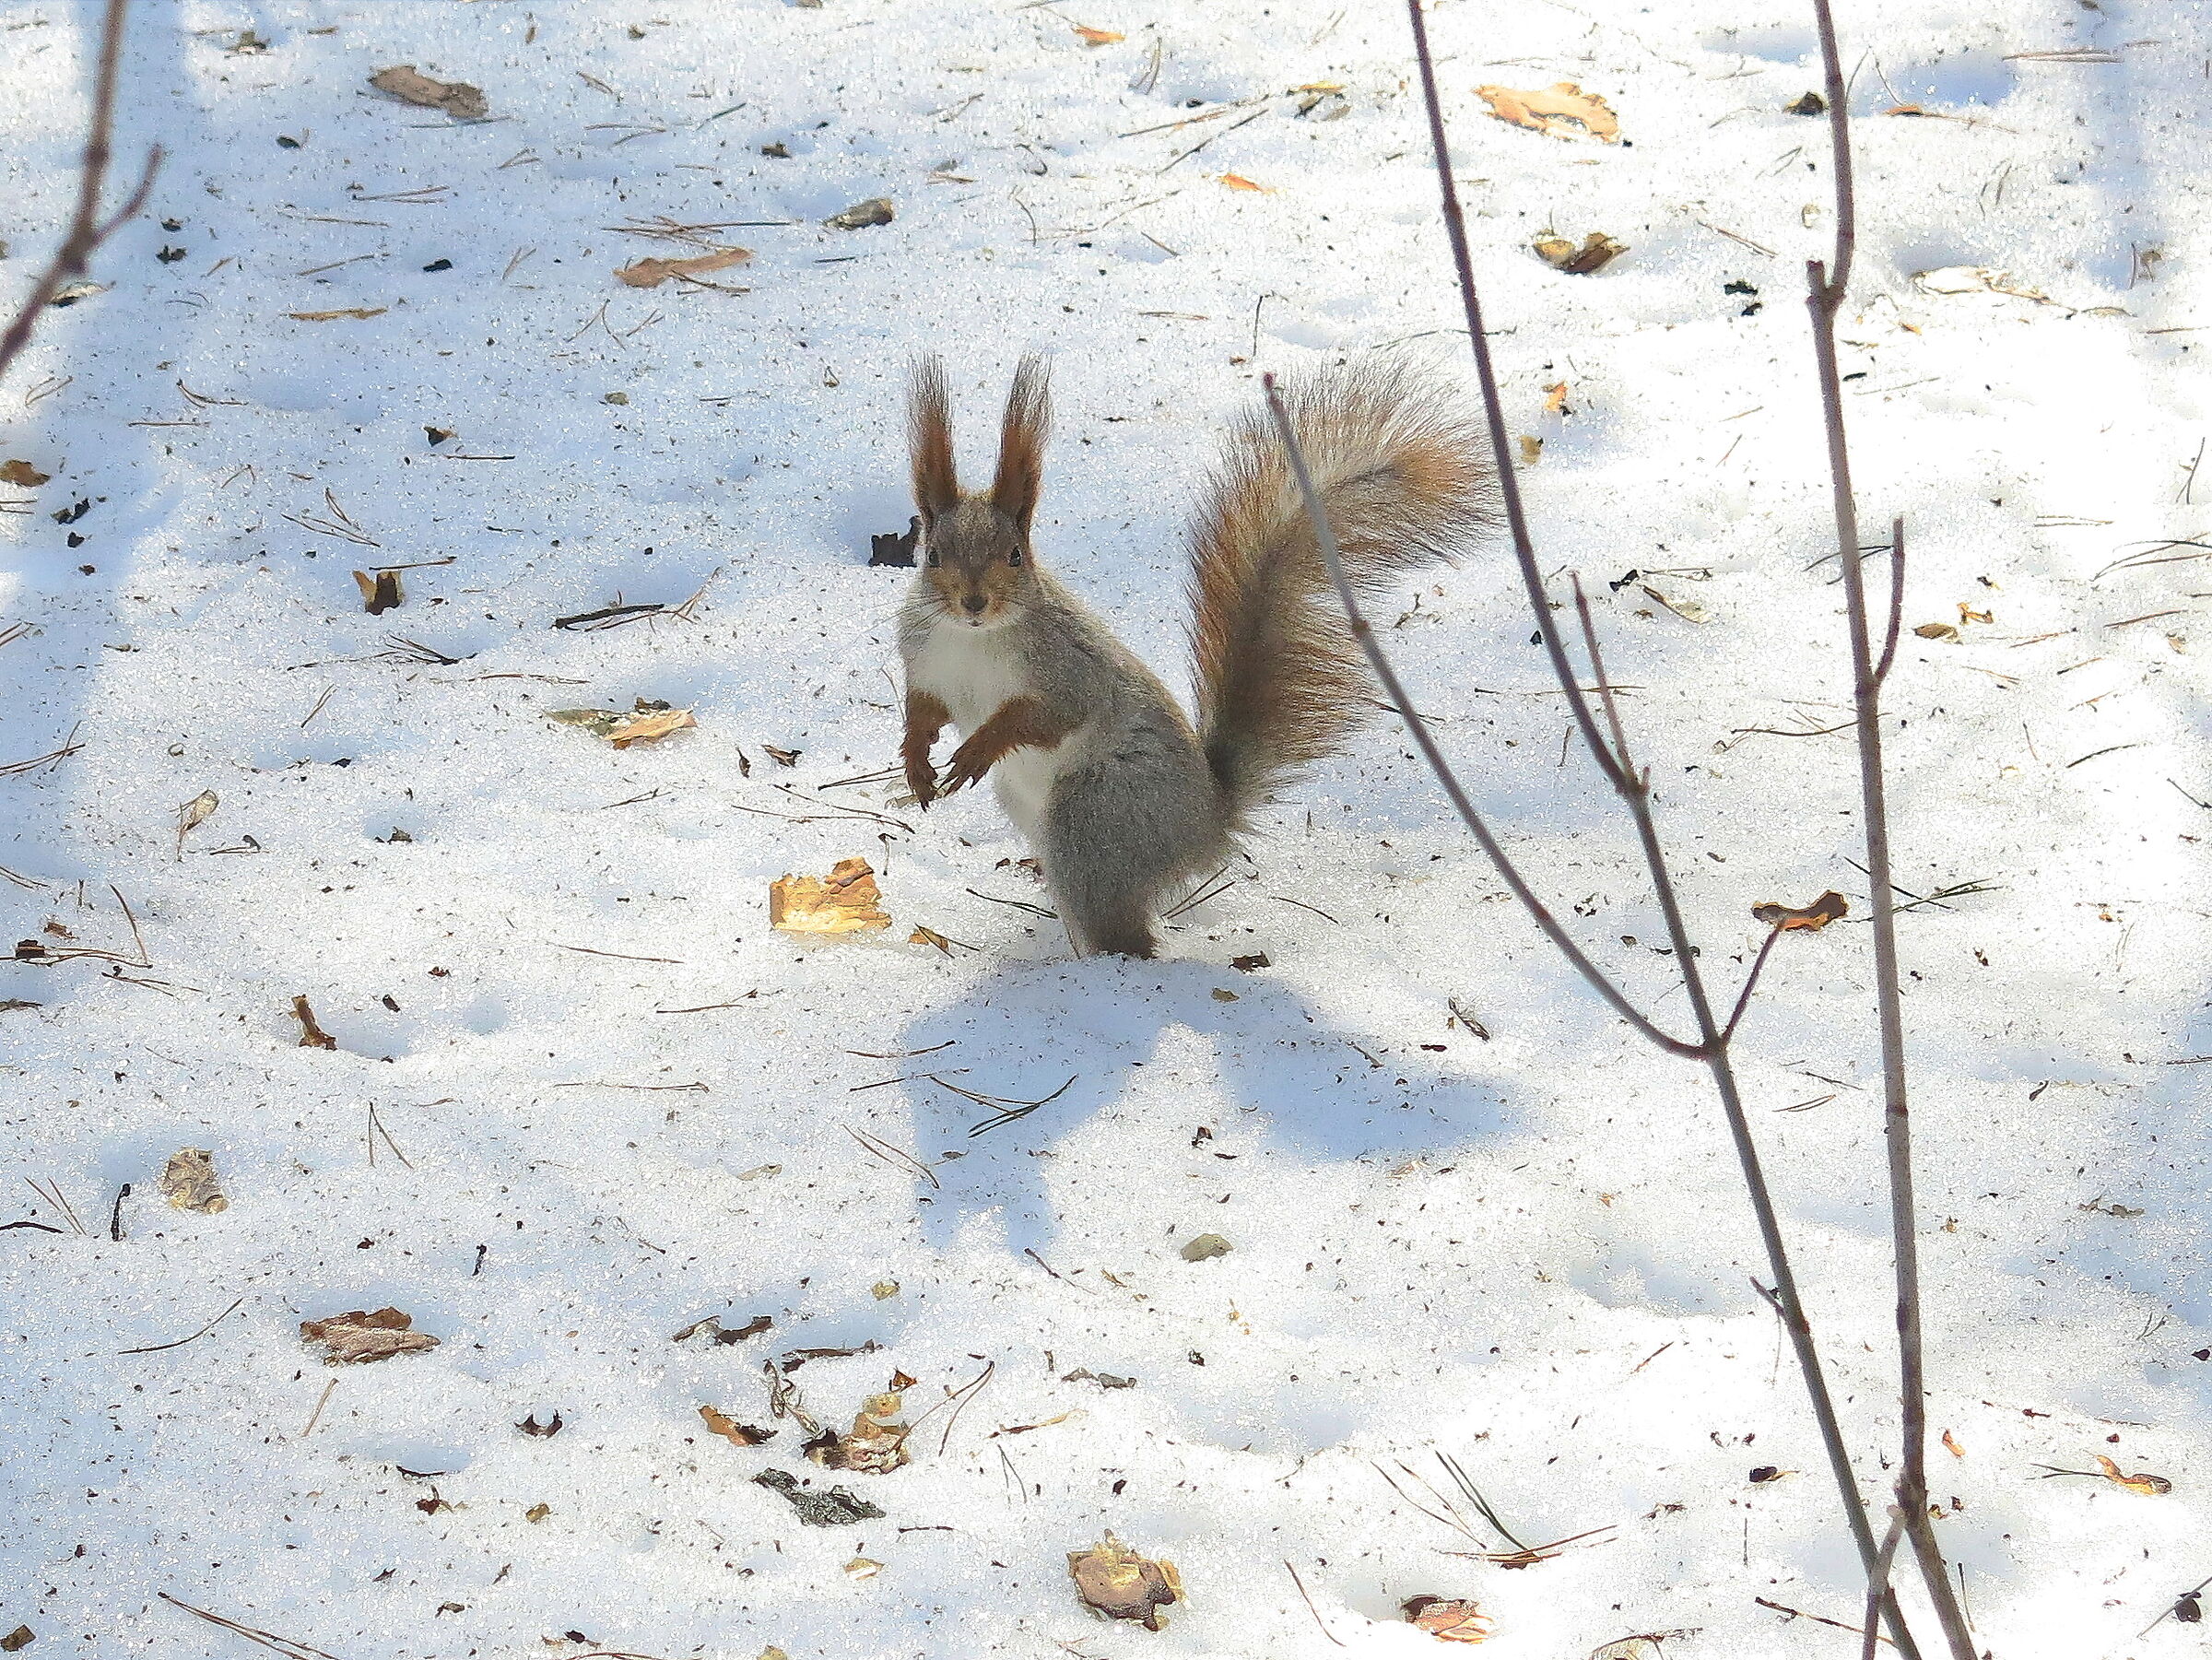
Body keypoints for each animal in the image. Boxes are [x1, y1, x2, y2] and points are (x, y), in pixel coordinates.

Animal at [897, 354, 1496, 958]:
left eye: (1016, 556)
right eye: (933, 555)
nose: (974, 602)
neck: (972, 639)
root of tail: (1207, 828)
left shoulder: (1069, 667)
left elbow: (1049, 716)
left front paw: (978, 749)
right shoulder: (924, 662)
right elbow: (924, 709)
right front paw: (917, 763)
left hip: (1098, 815)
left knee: (1121, 922)